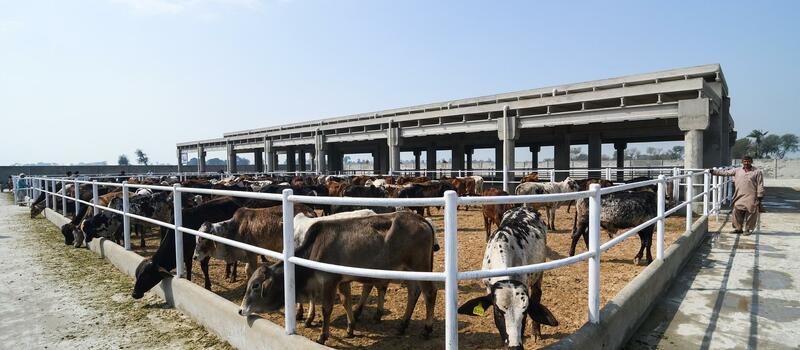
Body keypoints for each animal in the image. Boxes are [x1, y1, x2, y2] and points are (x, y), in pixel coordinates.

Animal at [239, 211, 438, 344]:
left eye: (255, 286)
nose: (241, 310)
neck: (315, 247)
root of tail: (420, 219)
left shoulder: (329, 280)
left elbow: (327, 308)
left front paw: (322, 336)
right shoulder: (343, 281)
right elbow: (345, 301)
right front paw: (350, 328)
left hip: (420, 267)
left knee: (429, 293)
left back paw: (427, 329)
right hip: (407, 270)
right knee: (414, 292)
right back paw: (402, 325)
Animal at [460, 206, 560, 346]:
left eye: (525, 313)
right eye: (498, 312)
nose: (515, 346)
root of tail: (523, 207)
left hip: (539, 271)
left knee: (537, 293)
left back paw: (536, 332)